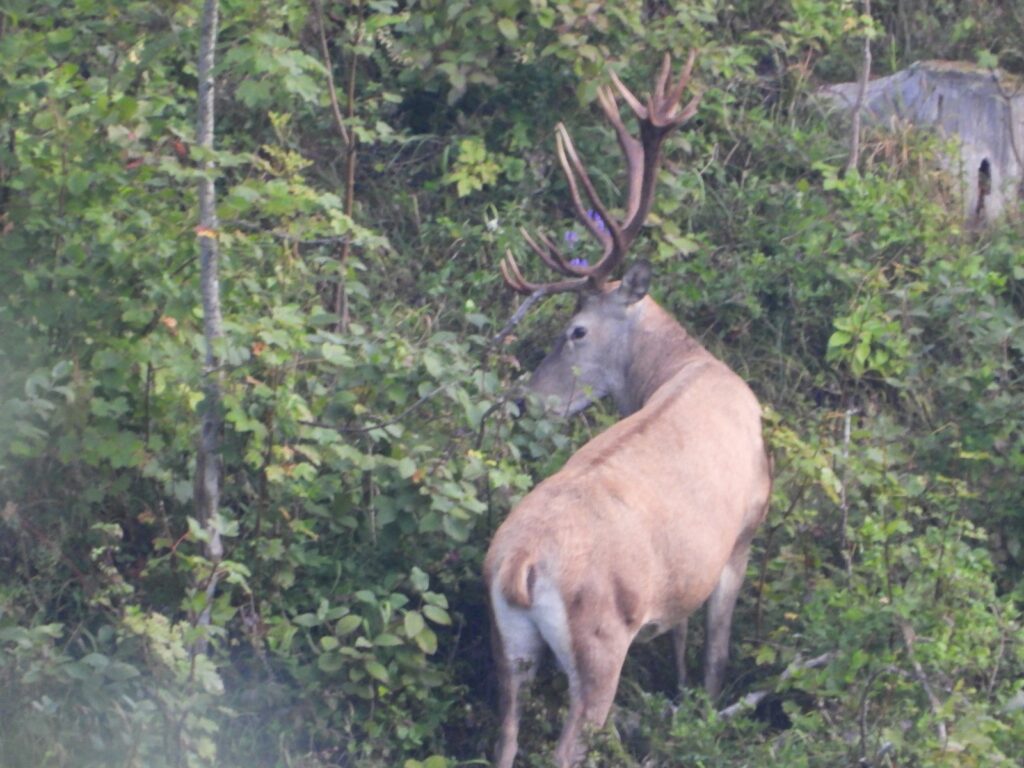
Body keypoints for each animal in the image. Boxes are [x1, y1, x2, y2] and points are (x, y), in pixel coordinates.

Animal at [483, 52, 772, 768]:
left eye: (575, 330)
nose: (527, 399)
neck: (685, 365)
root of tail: (518, 566)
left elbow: (680, 643)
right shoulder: (743, 532)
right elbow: (715, 653)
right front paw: (704, 716)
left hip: (508, 646)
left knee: (504, 737)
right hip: (599, 639)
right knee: (569, 744)